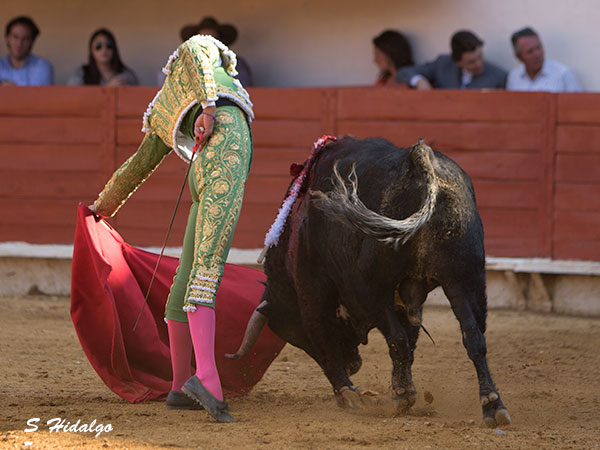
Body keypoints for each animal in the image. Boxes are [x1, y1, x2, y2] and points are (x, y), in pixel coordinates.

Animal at [227, 136, 511, 427]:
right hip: (464, 280)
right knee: (473, 336)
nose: (352, 365)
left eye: (297, 337)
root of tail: (419, 158)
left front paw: (349, 395)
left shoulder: (312, 292)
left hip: (369, 288)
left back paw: (401, 397)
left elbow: (327, 339)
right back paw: (492, 405)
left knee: (397, 337)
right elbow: (411, 340)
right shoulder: (410, 299)